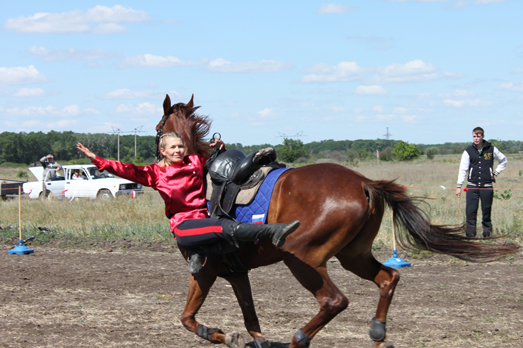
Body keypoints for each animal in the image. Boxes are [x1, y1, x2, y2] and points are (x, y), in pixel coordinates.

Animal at [156, 94, 520, 346]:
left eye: (159, 128)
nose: (160, 149)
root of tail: (365, 183)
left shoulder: (206, 269)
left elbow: (188, 318)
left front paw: (219, 334)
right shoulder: (236, 272)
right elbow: (251, 319)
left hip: (301, 256)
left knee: (334, 301)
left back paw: (299, 339)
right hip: (353, 255)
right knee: (388, 278)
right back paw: (377, 331)